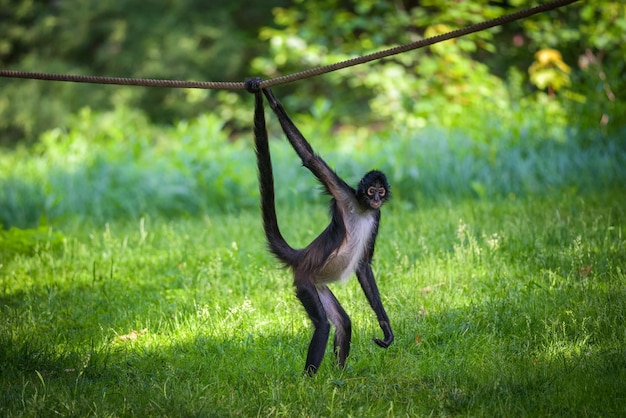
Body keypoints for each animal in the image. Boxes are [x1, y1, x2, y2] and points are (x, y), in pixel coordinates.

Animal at [243, 79, 390, 376]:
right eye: (371, 190)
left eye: (381, 191)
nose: (377, 199)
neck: (363, 208)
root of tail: (302, 256)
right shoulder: (343, 194)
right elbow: (309, 158)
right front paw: (272, 100)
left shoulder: (377, 216)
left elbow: (363, 265)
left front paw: (386, 328)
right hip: (305, 281)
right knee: (322, 325)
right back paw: (309, 381)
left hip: (318, 283)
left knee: (343, 322)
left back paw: (340, 377)